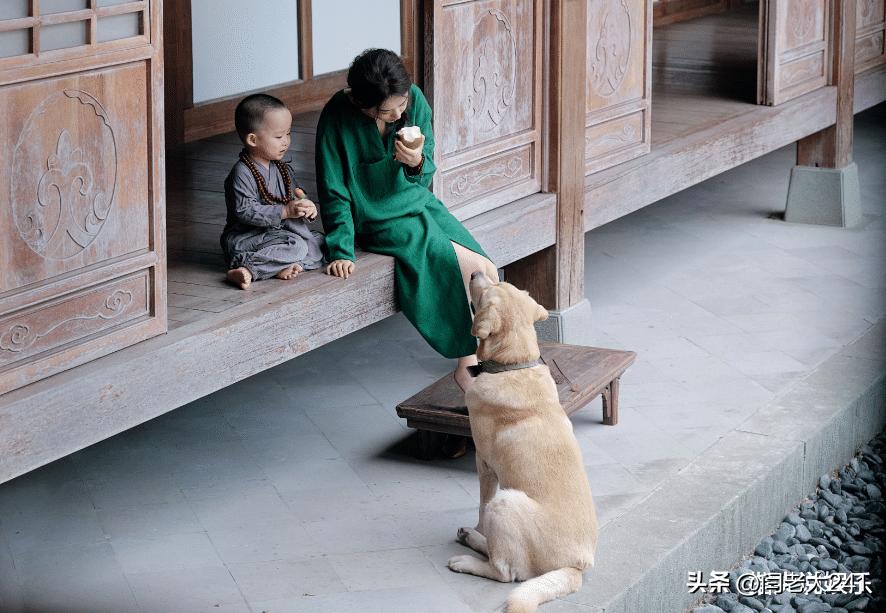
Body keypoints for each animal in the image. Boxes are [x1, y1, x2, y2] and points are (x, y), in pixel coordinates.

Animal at [448, 272, 600, 612]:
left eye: (487, 291)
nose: (475, 273)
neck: (513, 365)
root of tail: (576, 566)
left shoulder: (484, 464)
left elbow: (481, 506)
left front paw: (478, 528)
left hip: (505, 502)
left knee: (504, 571)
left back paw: (469, 553)